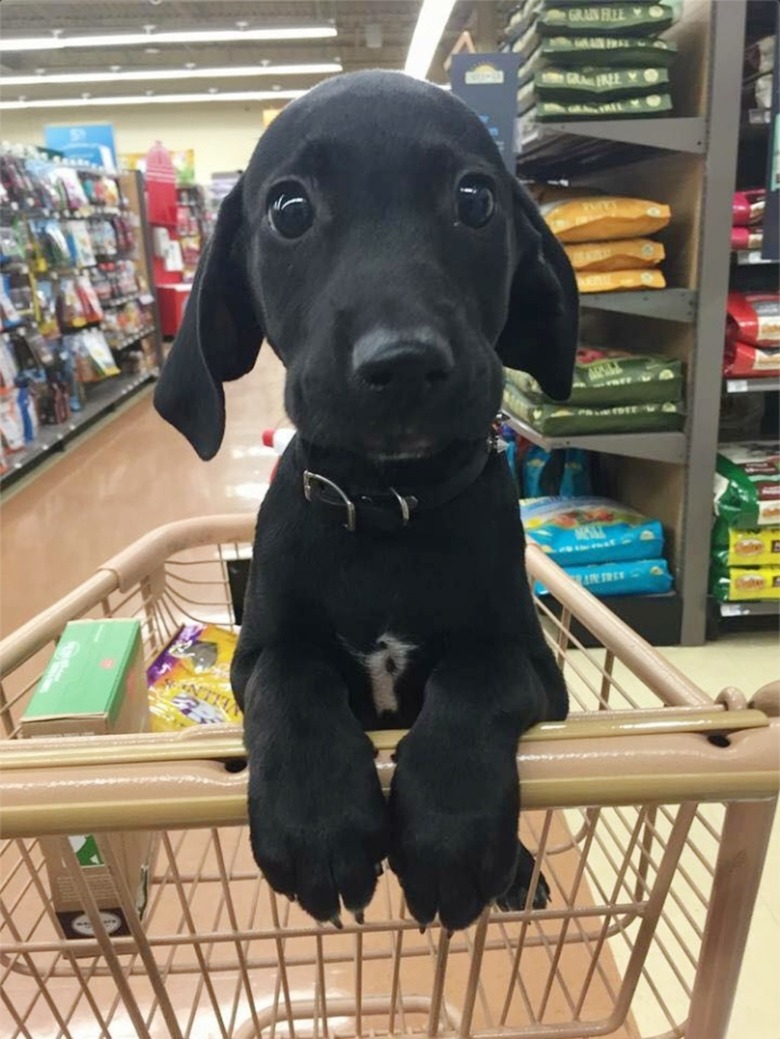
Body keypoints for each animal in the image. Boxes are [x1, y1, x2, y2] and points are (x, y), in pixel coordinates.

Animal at [155, 73, 577, 935]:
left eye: (476, 199)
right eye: (289, 209)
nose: (404, 362)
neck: (388, 509)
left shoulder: (543, 673)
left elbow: (480, 672)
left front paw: (450, 831)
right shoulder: (255, 656)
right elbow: (292, 678)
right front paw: (316, 818)